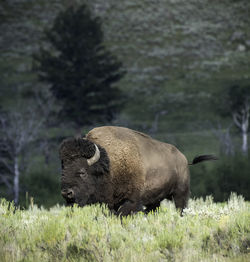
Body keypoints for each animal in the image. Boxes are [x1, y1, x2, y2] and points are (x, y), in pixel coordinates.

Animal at [59, 126, 217, 215]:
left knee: (181, 209)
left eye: (82, 172)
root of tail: (183, 159)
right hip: (156, 200)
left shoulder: (131, 201)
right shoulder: (111, 203)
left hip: (180, 194)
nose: (66, 193)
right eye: (63, 170)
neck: (109, 163)